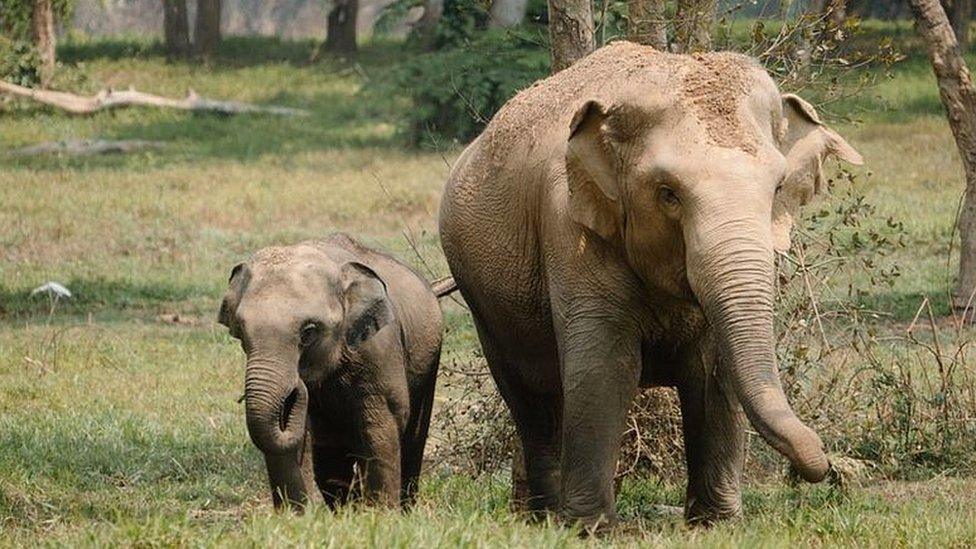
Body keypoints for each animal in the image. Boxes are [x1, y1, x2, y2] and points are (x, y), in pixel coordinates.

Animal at [217, 233, 446, 508]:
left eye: (308, 332)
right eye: (240, 331)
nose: (298, 385)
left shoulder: (379, 345)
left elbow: (383, 420)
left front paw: (381, 513)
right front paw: (298, 515)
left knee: (412, 438)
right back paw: (345, 507)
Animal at [442, 41, 860, 524]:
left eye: (777, 188)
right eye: (667, 193)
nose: (827, 465)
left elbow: (714, 371)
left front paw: (715, 523)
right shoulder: (568, 225)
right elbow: (603, 368)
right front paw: (589, 528)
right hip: (486, 304)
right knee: (534, 399)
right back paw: (545, 516)